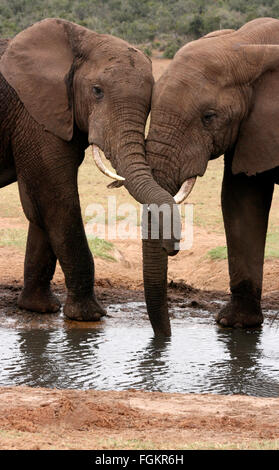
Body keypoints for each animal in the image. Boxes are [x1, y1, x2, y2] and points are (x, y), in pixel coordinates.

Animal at [0, 19, 182, 324]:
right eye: (97, 91)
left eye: (149, 104)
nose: (173, 246)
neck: (80, 39)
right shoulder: (34, 116)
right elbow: (56, 202)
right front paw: (87, 316)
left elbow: (39, 208)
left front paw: (39, 308)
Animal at [144, 17, 279, 334]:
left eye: (209, 117)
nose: (173, 246)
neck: (247, 44)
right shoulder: (249, 129)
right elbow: (241, 202)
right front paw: (236, 324)